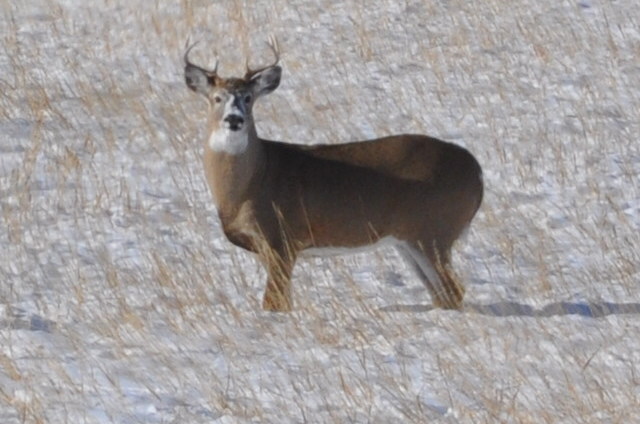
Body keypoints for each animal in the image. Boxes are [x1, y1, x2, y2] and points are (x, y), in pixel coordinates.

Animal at [182, 39, 482, 312]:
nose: (234, 119)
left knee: (454, 290)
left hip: (435, 230)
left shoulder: (283, 237)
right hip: (409, 239)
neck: (249, 186)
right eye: (217, 98)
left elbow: (274, 304)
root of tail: (477, 172)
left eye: (248, 98)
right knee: (443, 294)